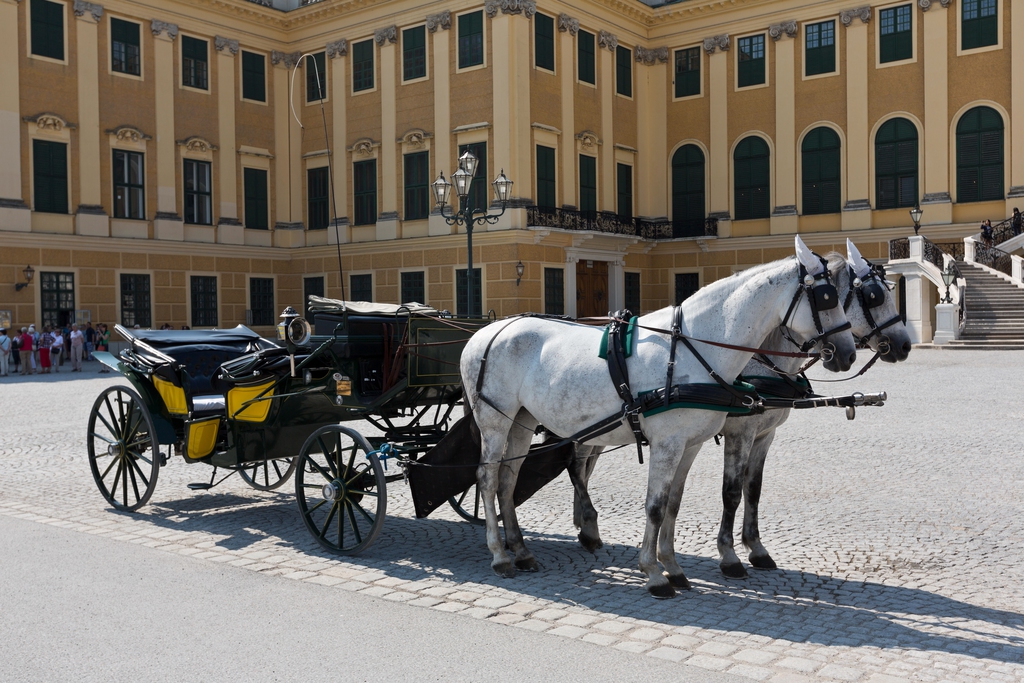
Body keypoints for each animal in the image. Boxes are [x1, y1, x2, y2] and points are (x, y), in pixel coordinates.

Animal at [462, 236, 856, 598]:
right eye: (828, 297)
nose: (848, 354)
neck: (692, 348)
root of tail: (484, 332)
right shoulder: (669, 444)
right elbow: (655, 505)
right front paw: (653, 572)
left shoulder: (691, 444)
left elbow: (674, 503)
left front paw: (673, 566)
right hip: (495, 421)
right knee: (487, 478)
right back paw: (500, 555)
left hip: (523, 421)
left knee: (508, 481)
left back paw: (522, 550)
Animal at [712, 240, 913, 577]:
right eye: (875, 296)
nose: (906, 345)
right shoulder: (740, 433)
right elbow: (732, 492)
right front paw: (728, 554)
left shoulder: (765, 435)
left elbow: (753, 489)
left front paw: (756, 547)